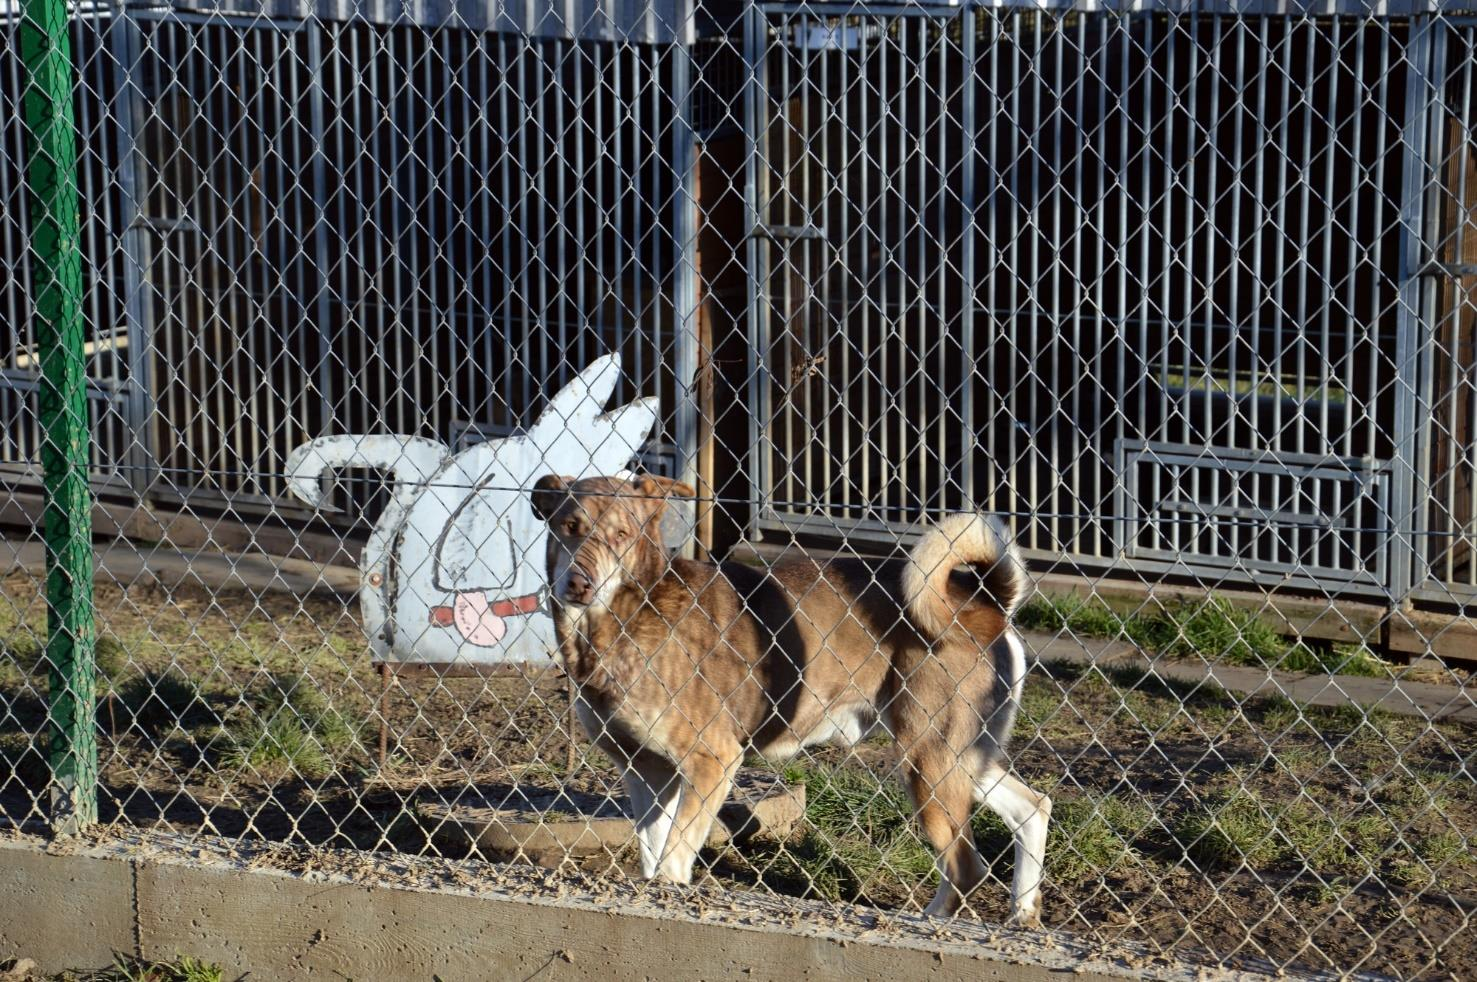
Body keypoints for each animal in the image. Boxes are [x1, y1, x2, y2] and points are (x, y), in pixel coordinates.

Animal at [531, 475, 1051, 927]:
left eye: (621, 534)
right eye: (569, 525)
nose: (578, 583)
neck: (621, 620)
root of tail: (984, 604)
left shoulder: (712, 760)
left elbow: (672, 860)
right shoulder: (645, 772)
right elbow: (651, 856)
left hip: (927, 759)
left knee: (966, 865)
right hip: (961, 759)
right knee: (1033, 808)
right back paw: (1021, 914)